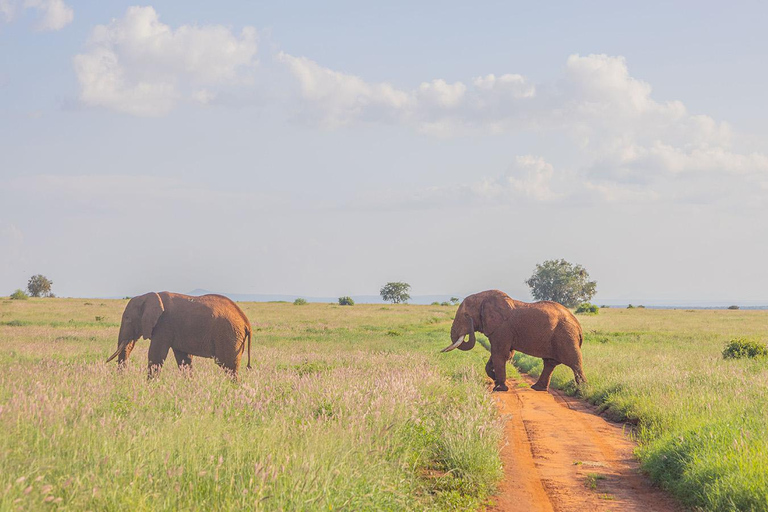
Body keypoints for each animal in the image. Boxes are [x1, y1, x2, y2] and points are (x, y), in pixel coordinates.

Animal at [106, 290, 252, 378]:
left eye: (127, 318)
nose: (121, 380)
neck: (147, 296)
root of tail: (246, 321)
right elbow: (184, 359)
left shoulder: (163, 325)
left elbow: (156, 355)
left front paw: (149, 387)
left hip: (229, 336)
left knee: (229, 366)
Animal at [440, 288, 584, 392]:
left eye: (465, 315)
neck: (483, 297)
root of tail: (578, 325)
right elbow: (502, 354)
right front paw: (495, 380)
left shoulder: (502, 328)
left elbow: (499, 354)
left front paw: (499, 388)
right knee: (549, 363)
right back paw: (538, 388)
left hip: (566, 336)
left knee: (575, 363)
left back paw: (581, 390)